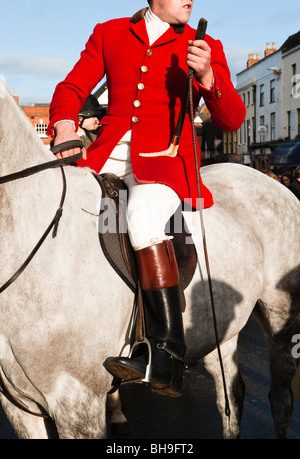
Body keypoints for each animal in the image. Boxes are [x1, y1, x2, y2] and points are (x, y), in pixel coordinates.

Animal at [0, 82, 300, 438]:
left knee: (280, 398)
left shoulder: (77, 401)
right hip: (219, 326)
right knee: (232, 392)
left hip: (281, 316)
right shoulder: (21, 407)